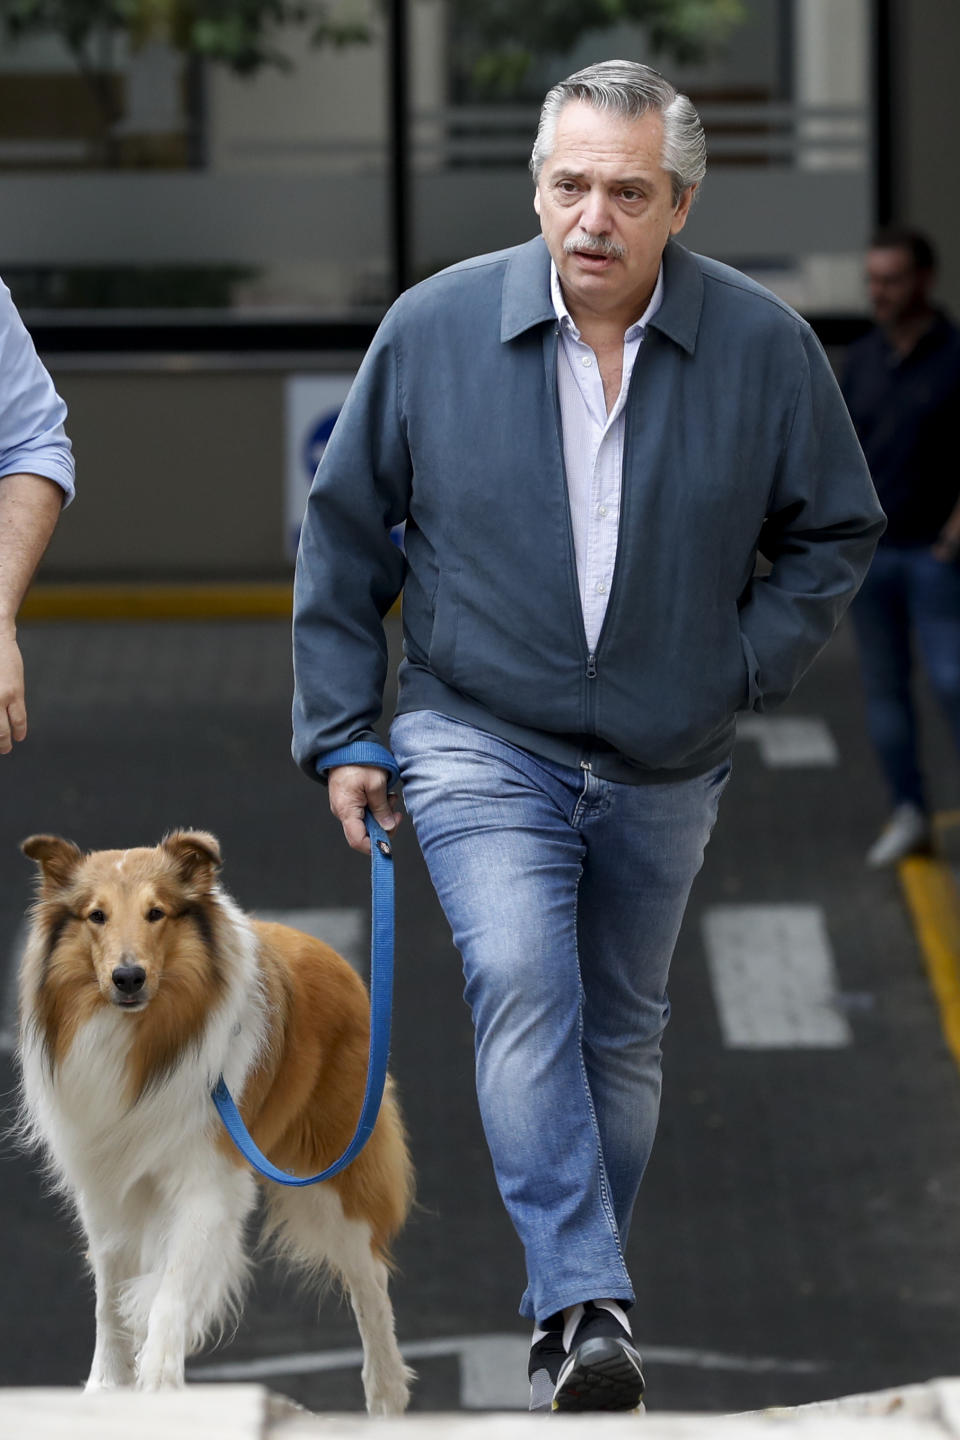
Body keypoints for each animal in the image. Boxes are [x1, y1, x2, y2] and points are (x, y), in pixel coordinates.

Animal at [15, 829, 414, 1411]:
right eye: (96, 916)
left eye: (157, 913)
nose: (128, 978)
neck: (141, 1039)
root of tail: (331, 955)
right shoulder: (105, 1186)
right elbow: (109, 1299)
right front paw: (106, 1388)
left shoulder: (207, 1183)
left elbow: (171, 1290)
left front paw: (159, 1383)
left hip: (334, 1179)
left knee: (371, 1282)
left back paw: (385, 1396)